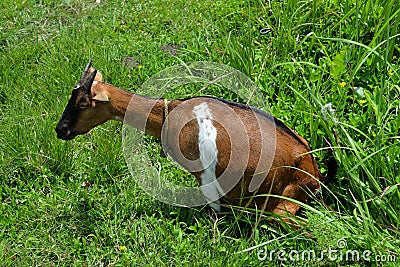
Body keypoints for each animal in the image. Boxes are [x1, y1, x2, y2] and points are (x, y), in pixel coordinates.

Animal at [54, 59, 336, 217]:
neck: (170, 115)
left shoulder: (206, 176)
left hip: (283, 205)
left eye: (82, 103)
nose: (60, 130)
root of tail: (316, 173)